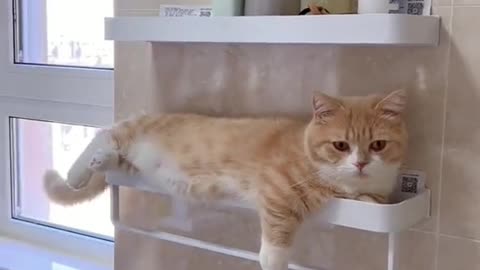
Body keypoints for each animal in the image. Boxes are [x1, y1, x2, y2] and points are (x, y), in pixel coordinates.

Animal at [43, 89, 406, 270]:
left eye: (378, 145)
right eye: (340, 145)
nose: (360, 162)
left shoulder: (373, 198)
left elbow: (370, 198)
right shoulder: (276, 188)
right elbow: (278, 225)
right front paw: (274, 259)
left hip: (134, 166)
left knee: (112, 154)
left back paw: (101, 161)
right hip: (134, 131)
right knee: (105, 134)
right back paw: (78, 171)